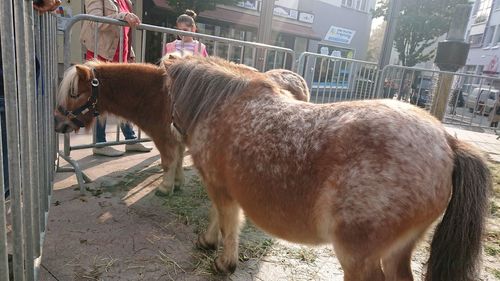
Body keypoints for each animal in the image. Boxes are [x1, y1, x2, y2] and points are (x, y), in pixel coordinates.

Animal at [55, 59, 308, 195]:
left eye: (74, 93)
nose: (58, 124)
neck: (157, 96)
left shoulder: (164, 137)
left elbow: (168, 162)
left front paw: (165, 188)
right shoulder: (177, 138)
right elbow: (176, 161)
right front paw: (177, 183)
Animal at [163, 55, 488, 280]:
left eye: (170, 94)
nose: (173, 129)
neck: (221, 105)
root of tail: (447, 141)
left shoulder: (219, 187)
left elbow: (227, 222)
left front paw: (222, 261)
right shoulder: (223, 188)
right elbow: (217, 216)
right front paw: (208, 241)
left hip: (357, 256)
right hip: (396, 252)